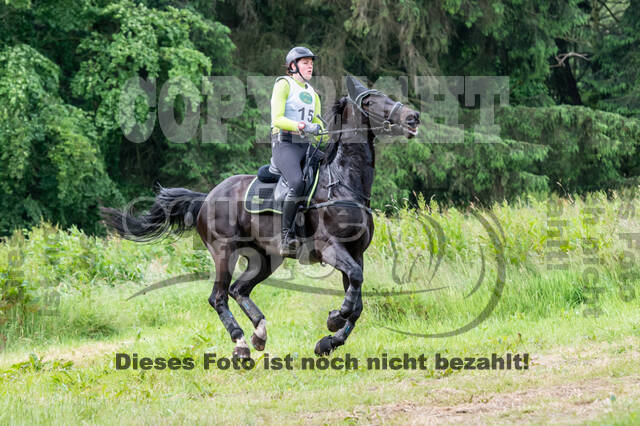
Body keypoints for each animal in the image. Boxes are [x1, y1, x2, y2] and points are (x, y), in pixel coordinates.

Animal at [100, 76, 420, 358]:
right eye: (370, 101)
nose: (413, 117)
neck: (342, 181)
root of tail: (207, 198)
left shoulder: (356, 252)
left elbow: (358, 301)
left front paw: (328, 342)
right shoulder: (331, 249)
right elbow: (354, 286)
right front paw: (334, 319)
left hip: (264, 257)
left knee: (239, 289)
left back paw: (259, 333)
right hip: (224, 252)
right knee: (219, 296)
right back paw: (241, 343)